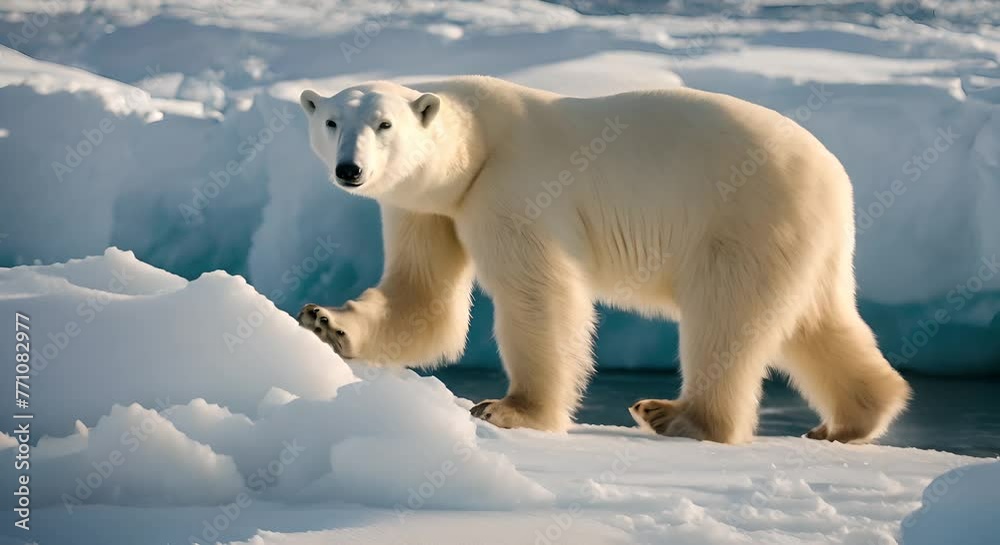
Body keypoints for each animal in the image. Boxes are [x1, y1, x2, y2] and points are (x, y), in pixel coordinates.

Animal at [296, 76, 910, 444]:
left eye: (384, 124)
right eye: (331, 122)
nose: (350, 169)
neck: (477, 149)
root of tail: (835, 176)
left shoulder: (513, 191)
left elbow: (538, 296)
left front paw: (510, 409)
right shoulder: (429, 208)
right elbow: (422, 296)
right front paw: (326, 323)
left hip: (743, 216)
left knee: (726, 316)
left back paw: (677, 415)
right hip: (804, 239)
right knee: (817, 321)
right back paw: (853, 418)